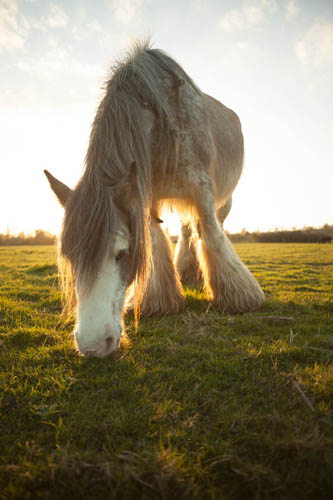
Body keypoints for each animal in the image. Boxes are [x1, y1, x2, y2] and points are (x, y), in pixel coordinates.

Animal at [44, 41, 264, 358]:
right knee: (187, 229)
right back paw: (188, 272)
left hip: (224, 199)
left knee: (209, 227)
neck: (162, 124)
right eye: (69, 256)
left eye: (121, 253)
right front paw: (158, 300)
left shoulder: (203, 189)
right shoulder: (145, 195)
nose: (92, 346)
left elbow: (212, 235)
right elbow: (157, 244)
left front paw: (239, 295)